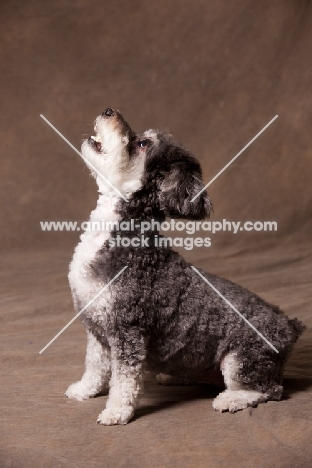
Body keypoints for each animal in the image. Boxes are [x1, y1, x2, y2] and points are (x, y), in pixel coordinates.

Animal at [65, 109, 304, 424]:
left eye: (143, 144)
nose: (109, 111)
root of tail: (289, 328)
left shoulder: (128, 331)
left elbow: (124, 380)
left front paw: (116, 411)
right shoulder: (96, 329)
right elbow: (94, 365)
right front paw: (84, 390)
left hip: (242, 358)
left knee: (270, 390)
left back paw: (231, 399)